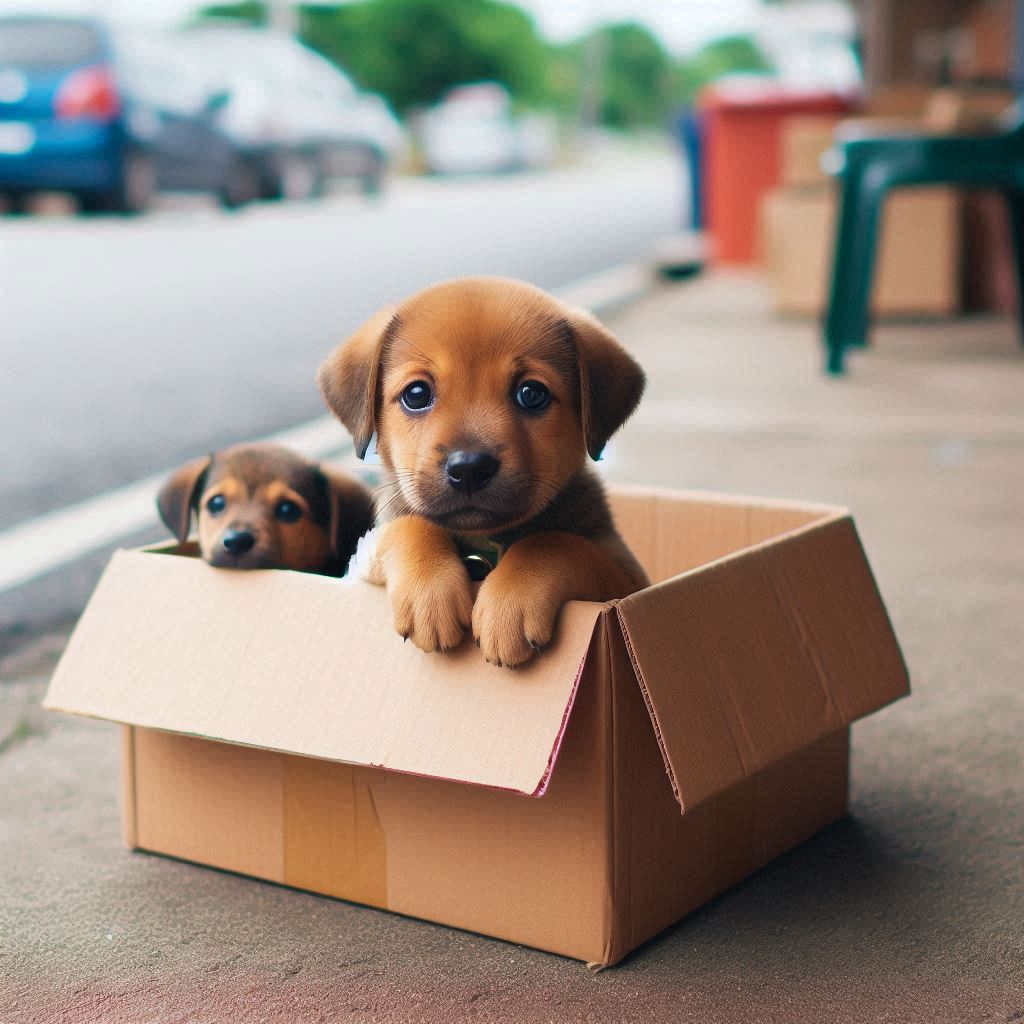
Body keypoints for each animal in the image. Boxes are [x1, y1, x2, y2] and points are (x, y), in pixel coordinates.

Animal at [315, 276, 647, 667]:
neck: (483, 544)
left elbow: (550, 542)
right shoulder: (363, 560)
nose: (469, 468)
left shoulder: (627, 586)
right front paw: (430, 591)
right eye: (416, 393)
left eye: (531, 393)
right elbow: (409, 525)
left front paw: (510, 601)